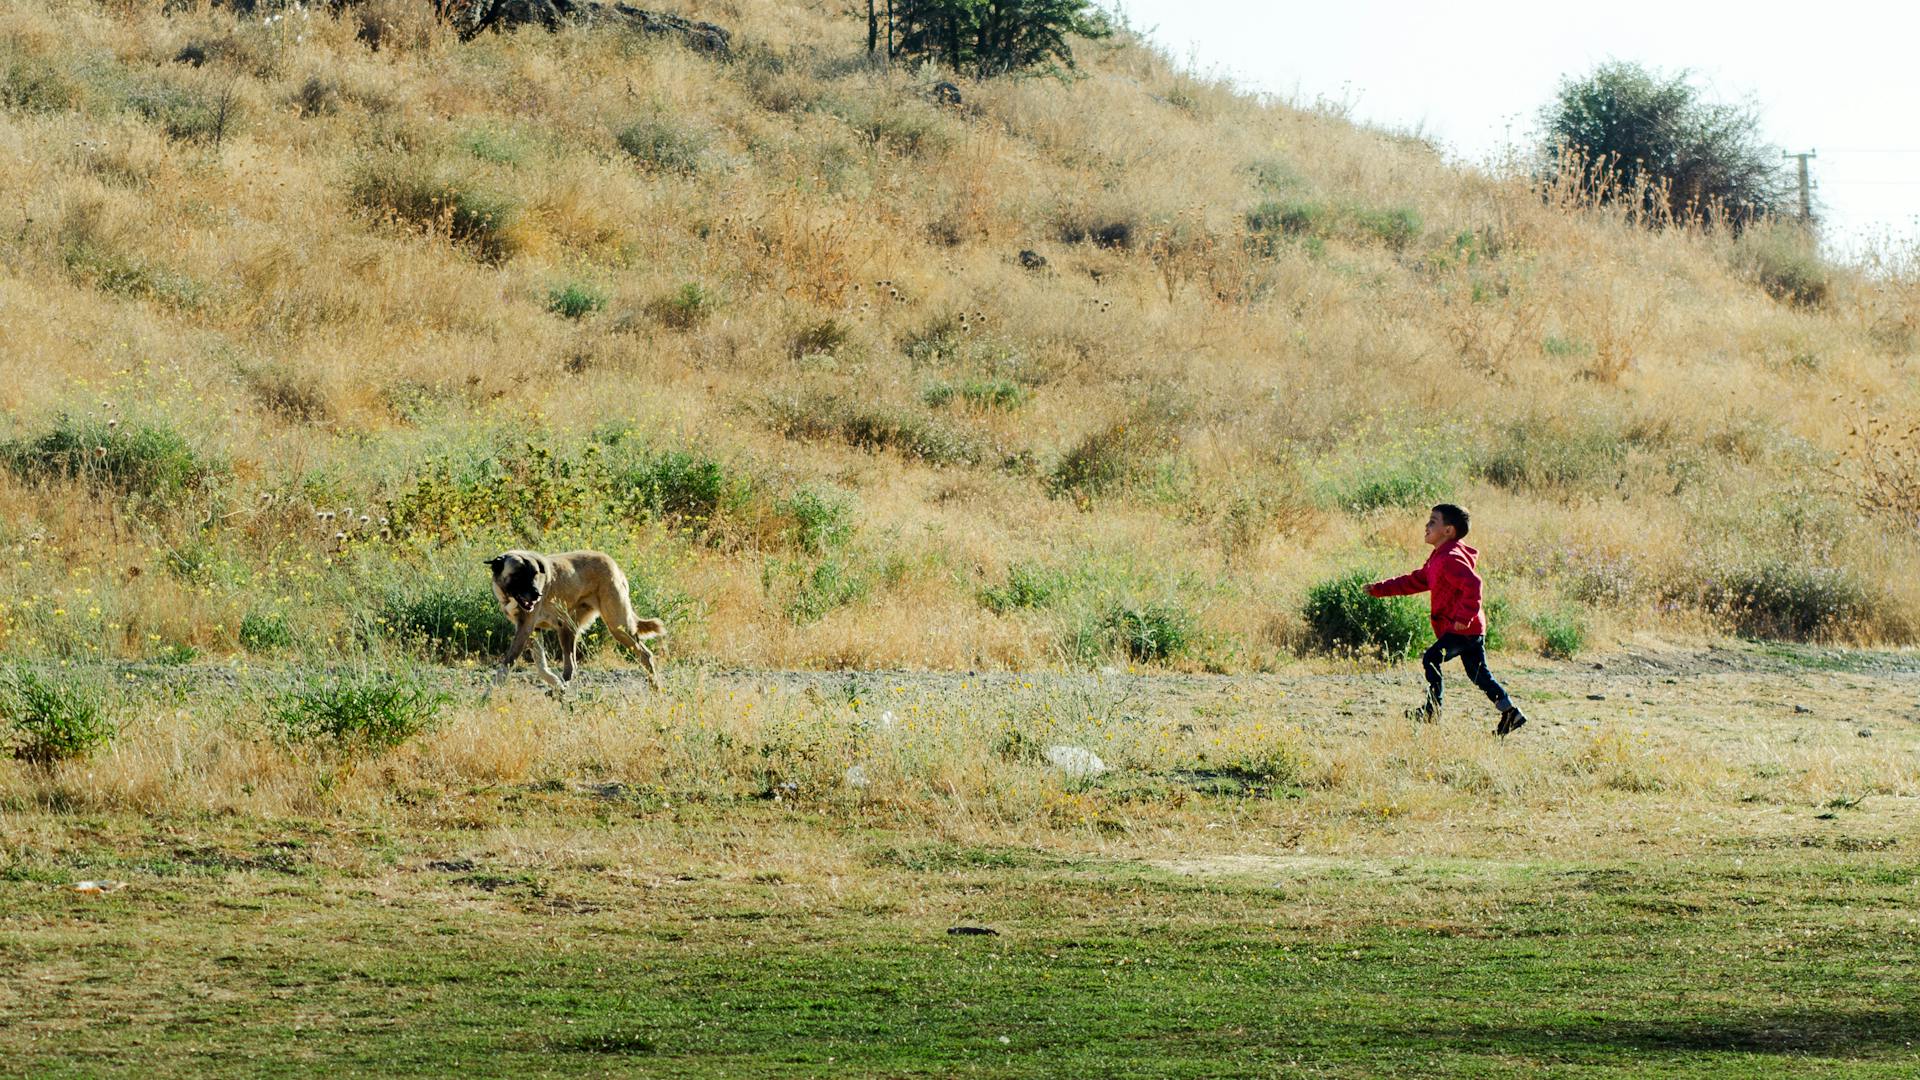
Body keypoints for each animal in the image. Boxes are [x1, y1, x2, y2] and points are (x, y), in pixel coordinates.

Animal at [487, 545, 668, 687]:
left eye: (535, 574)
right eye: (518, 575)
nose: (538, 595)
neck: (509, 596)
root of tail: (614, 565)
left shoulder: (525, 628)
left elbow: (506, 664)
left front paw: (488, 694)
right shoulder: (533, 630)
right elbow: (541, 666)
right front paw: (555, 683)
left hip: (617, 626)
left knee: (646, 655)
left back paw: (655, 688)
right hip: (566, 629)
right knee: (571, 666)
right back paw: (560, 689)